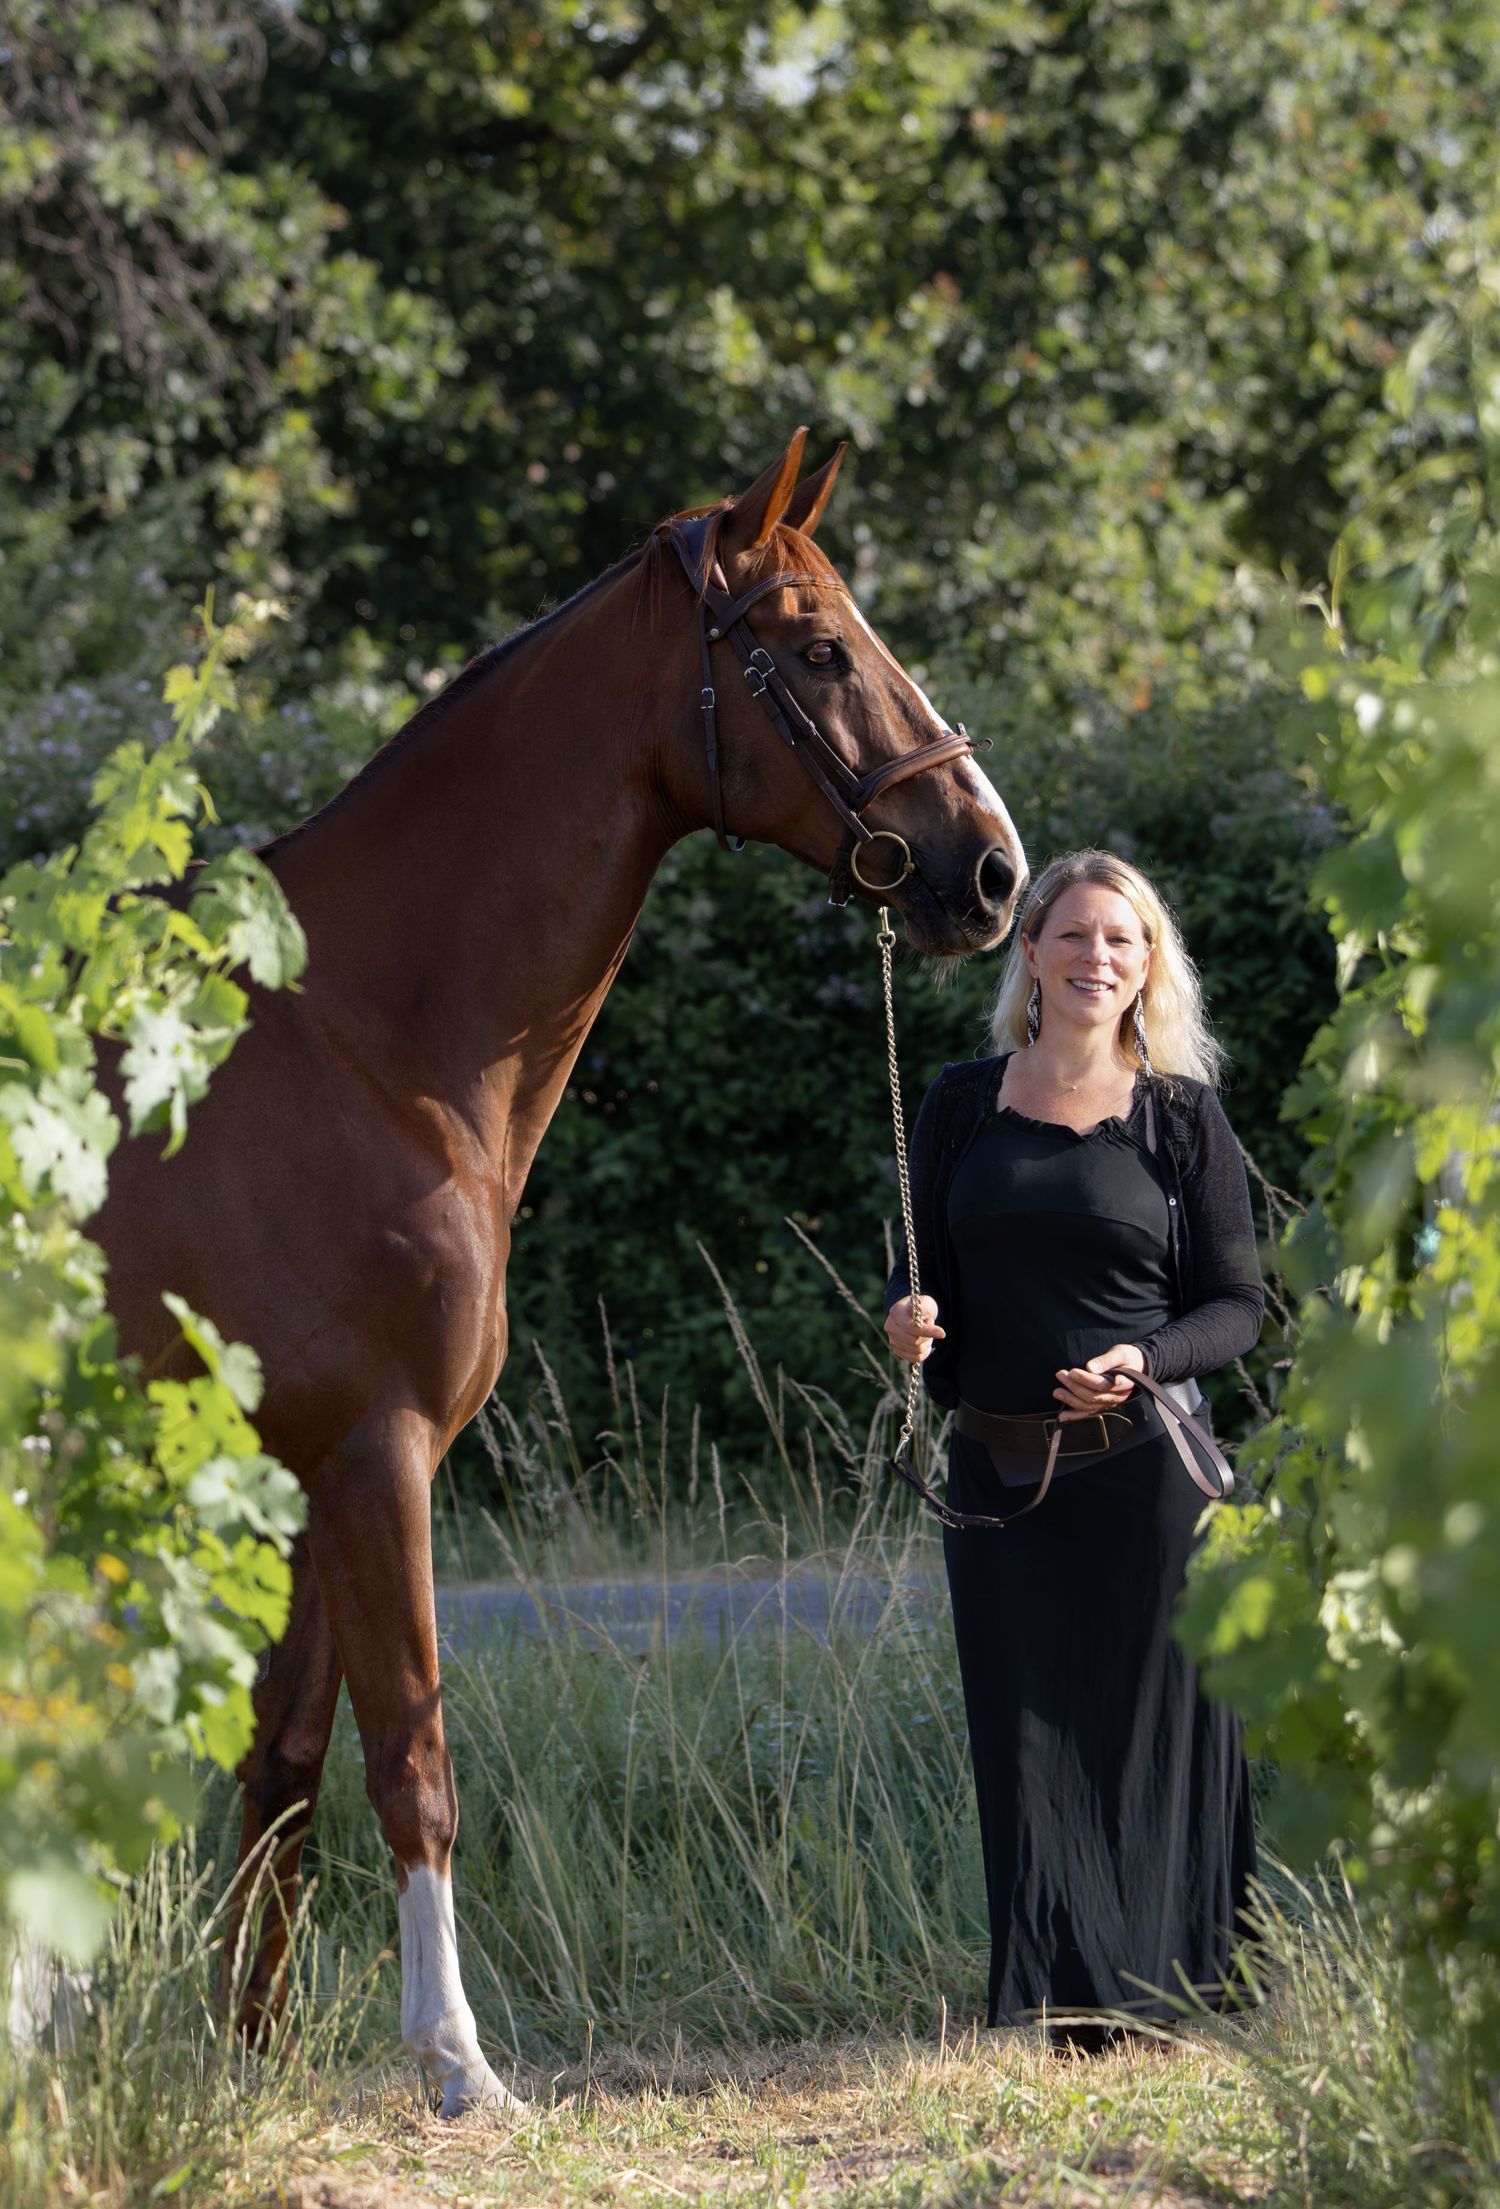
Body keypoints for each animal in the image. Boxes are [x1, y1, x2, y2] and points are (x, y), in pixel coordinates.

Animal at [93, 430, 1027, 2115]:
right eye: (815, 650)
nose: (988, 870)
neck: (365, 1042)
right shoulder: (378, 1456)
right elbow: (413, 1762)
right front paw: (459, 2064)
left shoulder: (304, 1471)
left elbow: (284, 1773)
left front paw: (242, 2064)